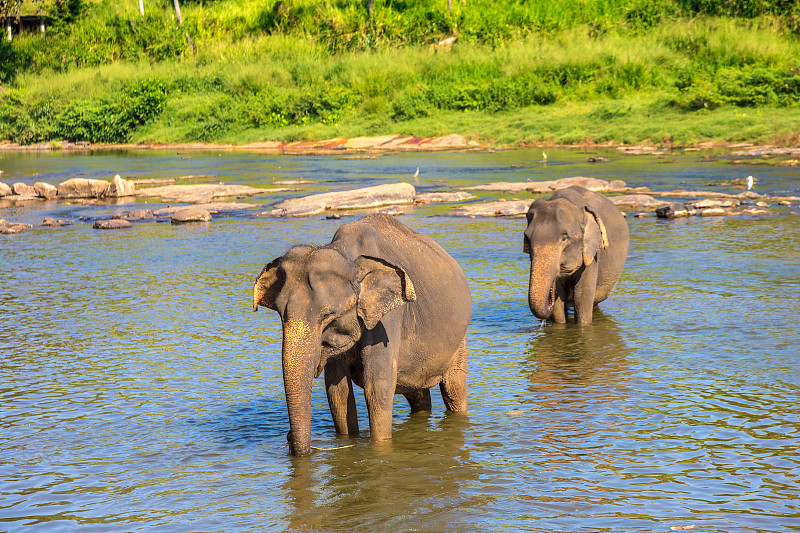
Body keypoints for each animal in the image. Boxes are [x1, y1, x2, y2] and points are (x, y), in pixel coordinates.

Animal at [253, 214, 472, 456]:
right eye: (281, 313)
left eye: (328, 314)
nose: (289, 437)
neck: (346, 255)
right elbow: (337, 391)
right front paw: (347, 442)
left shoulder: (387, 320)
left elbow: (377, 386)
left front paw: (379, 449)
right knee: (417, 394)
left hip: (459, 340)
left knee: (454, 389)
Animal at [524, 185, 632, 322]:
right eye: (527, 237)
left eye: (564, 237)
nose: (550, 297)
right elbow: (559, 307)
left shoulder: (592, 255)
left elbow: (582, 297)